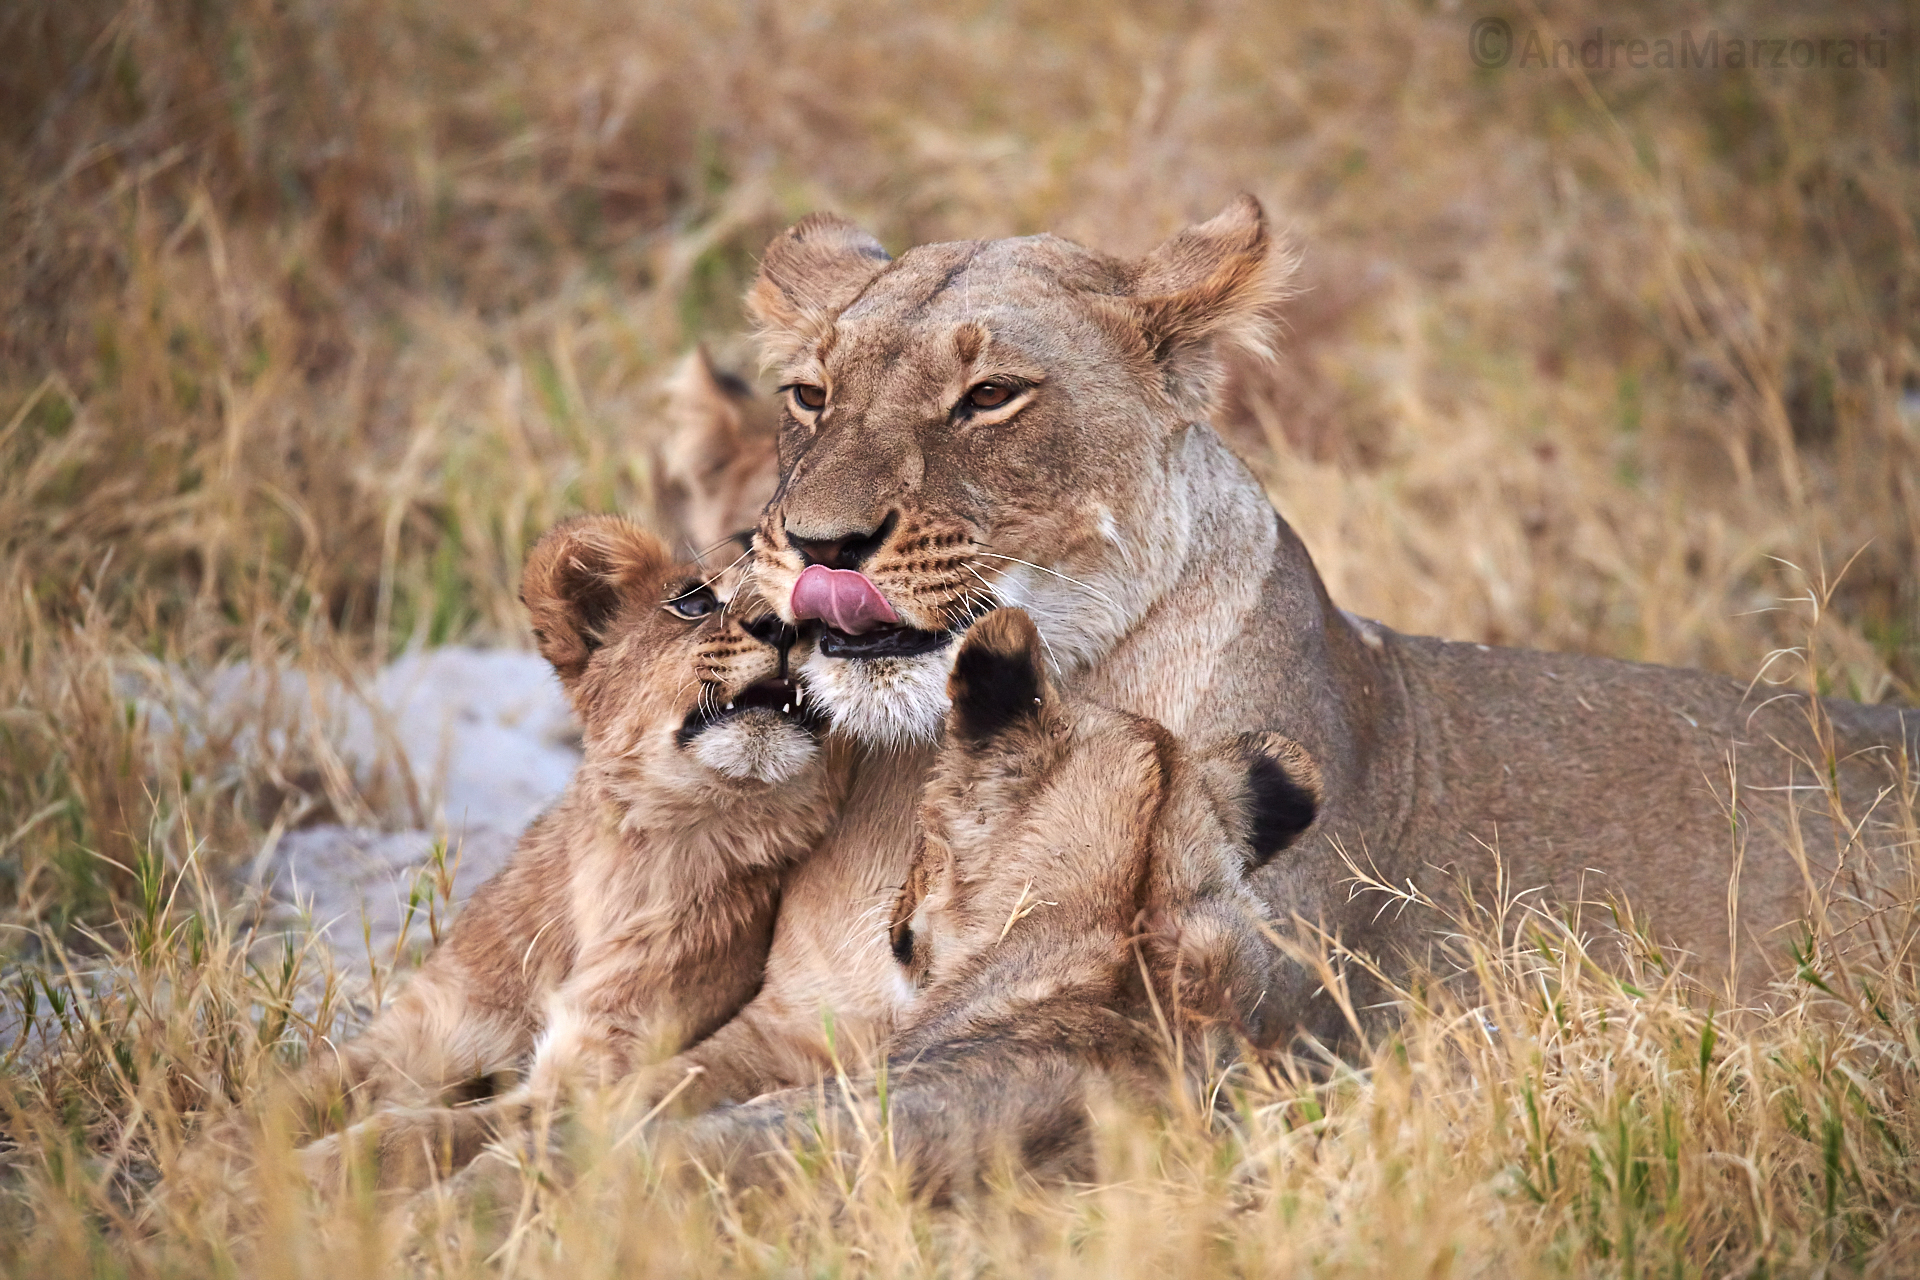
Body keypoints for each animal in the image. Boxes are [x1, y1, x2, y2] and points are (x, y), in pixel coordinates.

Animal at [180, 515, 848, 1196]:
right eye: (692, 602)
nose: (790, 629)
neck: (640, 851)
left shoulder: (595, 1071)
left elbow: (422, 1131)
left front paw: (297, 1175)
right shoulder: (421, 1034)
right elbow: (286, 1100)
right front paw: (203, 1164)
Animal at [637, 194, 1915, 1111]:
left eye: (992, 394)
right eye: (811, 394)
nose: (818, 544)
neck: (928, 763)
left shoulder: (1156, 1020)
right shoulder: (795, 1017)